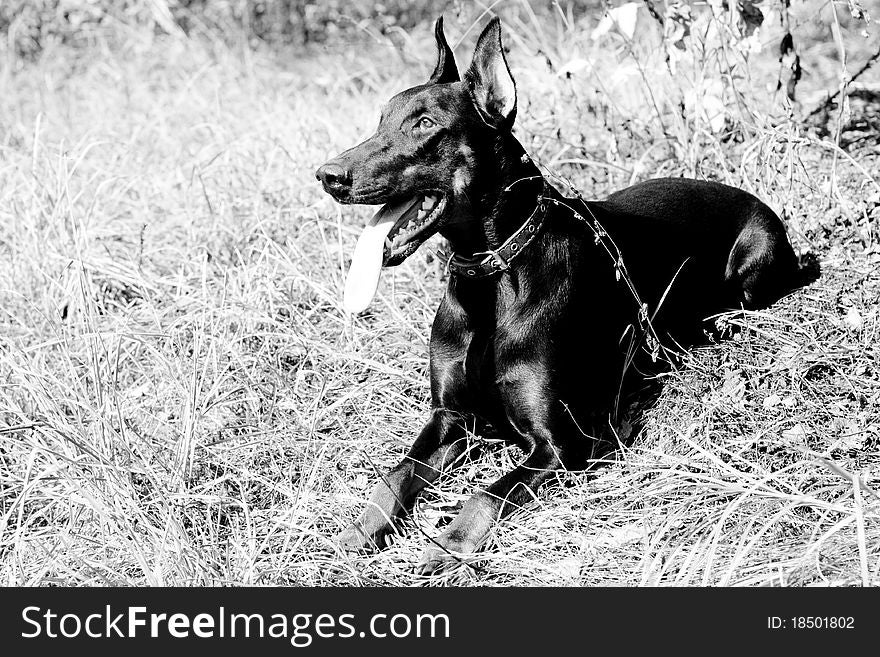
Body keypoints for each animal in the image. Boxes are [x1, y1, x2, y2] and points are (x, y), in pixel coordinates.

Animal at [314, 14, 820, 568]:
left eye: (425, 124)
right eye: (381, 119)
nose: (328, 175)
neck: (493, 280)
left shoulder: (564, 444)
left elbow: (485, 494)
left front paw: (448, 545)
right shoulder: (451, 416)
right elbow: (396, 473)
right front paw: (357, 531)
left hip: (755, 262)